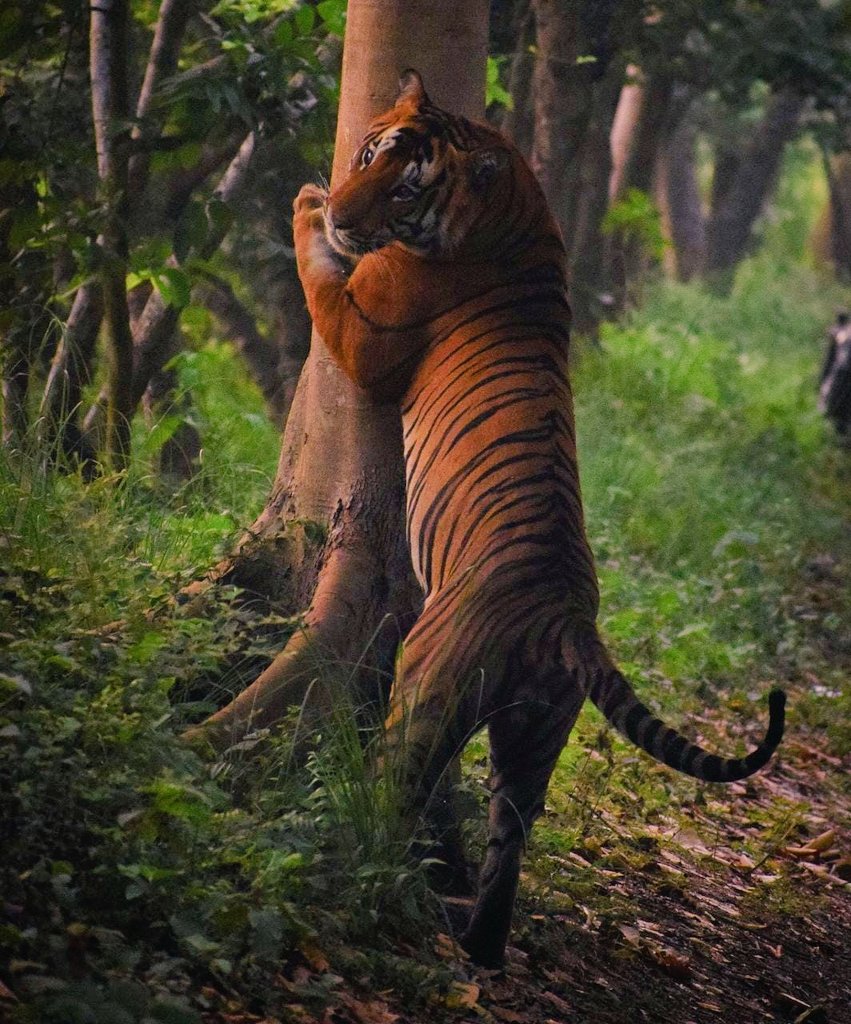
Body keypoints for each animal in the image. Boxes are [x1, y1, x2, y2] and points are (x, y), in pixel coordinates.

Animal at [292, 69, 785, 969]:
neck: (513, 196)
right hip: (536, 736)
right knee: (510, 840)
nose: (344, 207)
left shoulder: (365, 332)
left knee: (395, 785)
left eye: (402, 184)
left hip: (428, 678)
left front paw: (307, 207)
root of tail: (568, 625)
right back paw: (478, 947)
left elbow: (317, 270)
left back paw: (348, 864)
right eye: (369, 154)